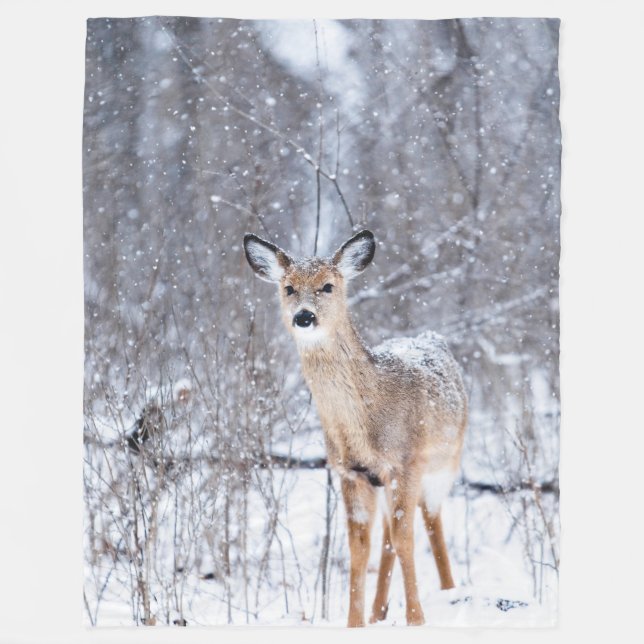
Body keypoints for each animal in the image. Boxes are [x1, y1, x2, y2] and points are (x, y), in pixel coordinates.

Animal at [243, 229, 467, 627]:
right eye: (288, 288)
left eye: (328, 286)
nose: (304, 316)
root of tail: (432, 337)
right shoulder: (351, 472)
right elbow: (359, 547)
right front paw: (355, 623)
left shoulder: (405, 463)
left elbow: (406, 537)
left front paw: (416, 619)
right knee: (388, 536)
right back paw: (379, 612)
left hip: (445, 462)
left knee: (431, 520)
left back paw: (448, 591)